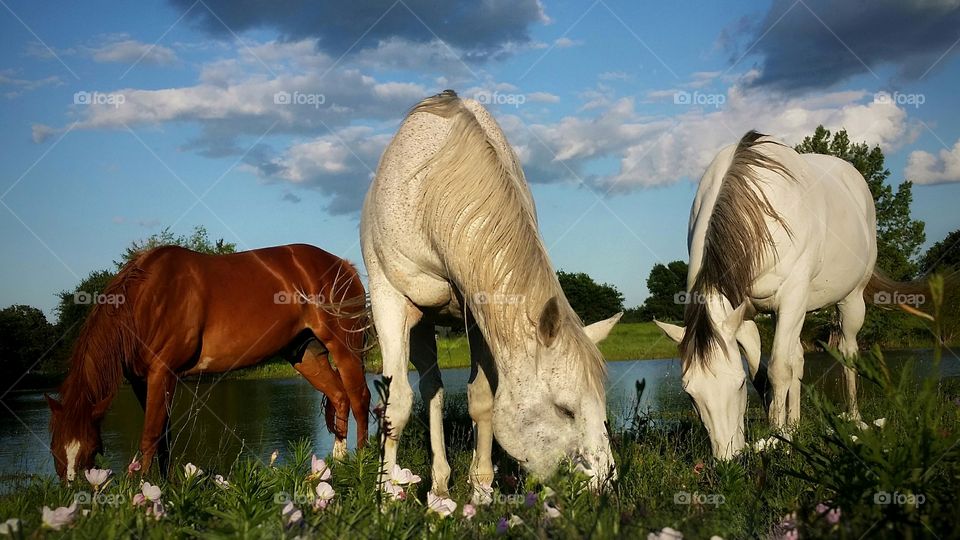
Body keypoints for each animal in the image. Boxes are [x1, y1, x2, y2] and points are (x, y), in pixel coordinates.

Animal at [47, 244, 372, 480]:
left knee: (359, 398)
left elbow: (150, 435)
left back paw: (363, 463)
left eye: (91, 448)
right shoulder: (143, 381)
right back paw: (335, 467)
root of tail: (344, 265)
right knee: (339, 397)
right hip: (306, 356)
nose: (73, 490)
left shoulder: (162, 373)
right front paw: (163, 487)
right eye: (54, 449)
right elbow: (163, 437)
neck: (147, 299)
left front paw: (139, 490)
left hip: (344, 347)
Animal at [360, 89, 624, 498]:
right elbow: (396, 404)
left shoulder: (482, 311)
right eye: (565, 409)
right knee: (429, 389)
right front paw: (385, 496)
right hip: (419, 321)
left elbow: (483, 401)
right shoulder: (388, 298)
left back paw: (442, 484)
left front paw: (482, 492)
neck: (430, 192)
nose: (602, 484)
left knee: (436, 389)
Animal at [652, 131, 924, 456]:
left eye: (738, 385)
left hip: (850, 301)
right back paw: (795, 423)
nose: (728, 459)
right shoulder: (745, 315)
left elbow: (778, 369)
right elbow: (764, 374)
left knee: (847, 352)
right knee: (798, 358)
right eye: (690, 394)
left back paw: (854, 418)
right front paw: (780, 431)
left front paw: (777, 436)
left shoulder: (791, 297)